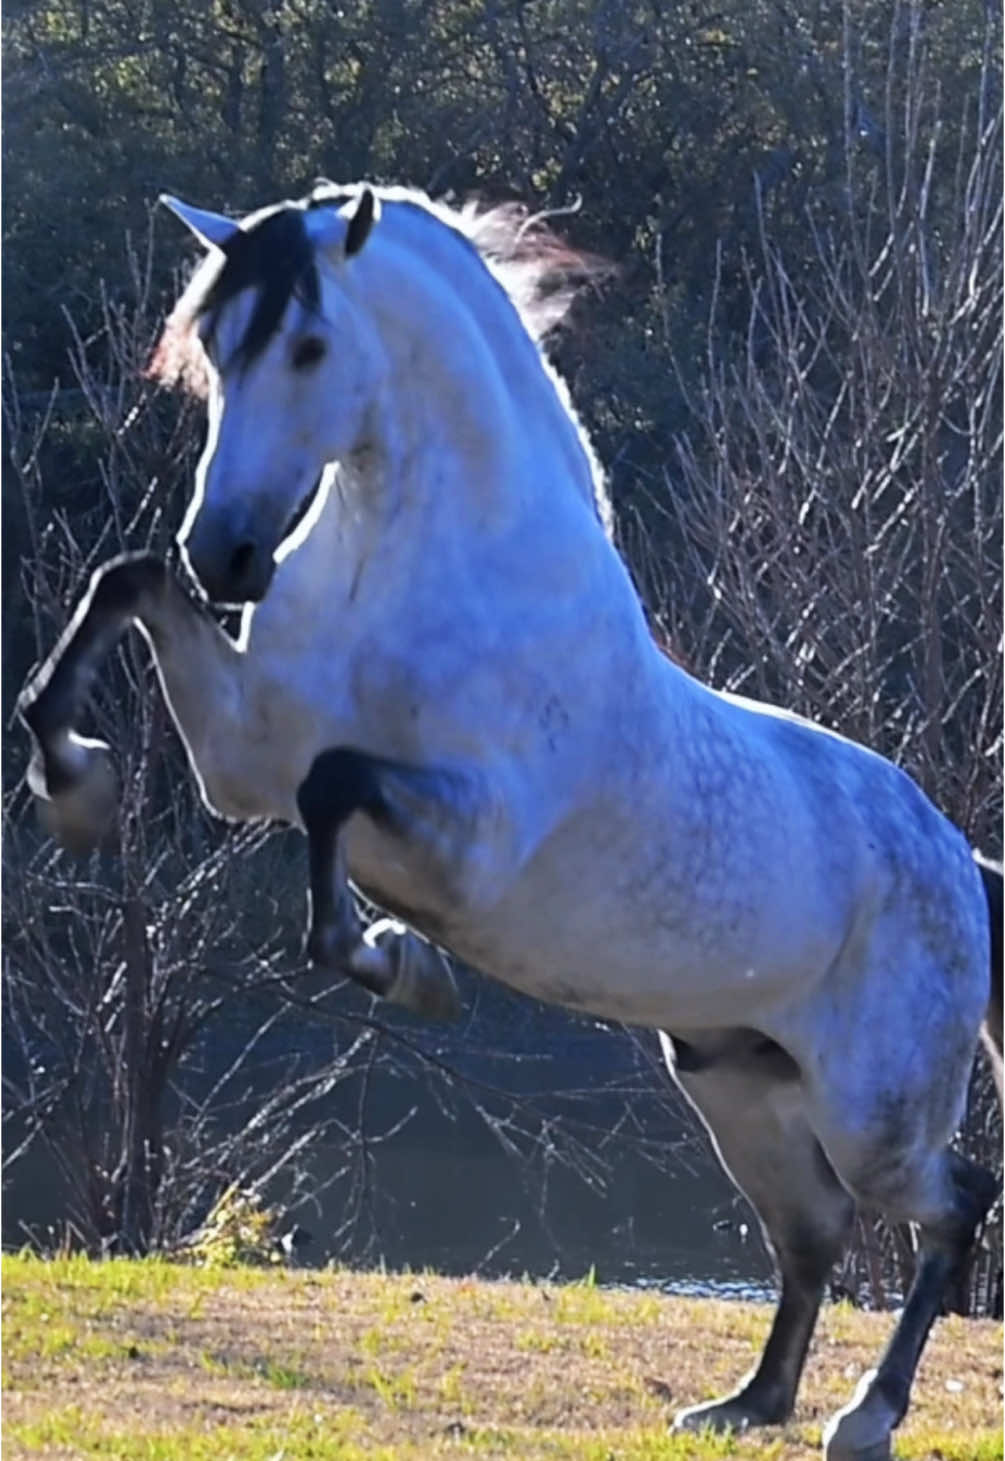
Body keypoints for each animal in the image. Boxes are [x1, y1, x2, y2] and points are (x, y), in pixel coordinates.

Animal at [19, 185, 999, 1461]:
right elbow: (126, 587)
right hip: (739, 1085)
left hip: (873, 1110)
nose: (225, 552)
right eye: (211, 350)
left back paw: (864, 1415)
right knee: (816, 1230)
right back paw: (745, 1404)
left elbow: (336, 792)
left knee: (951, 1204)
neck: (414, 569)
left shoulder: (467, 841)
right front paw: (78, 788)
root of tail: (959, 861)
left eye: (310, 346)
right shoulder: (243, 758)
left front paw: (402, 965)